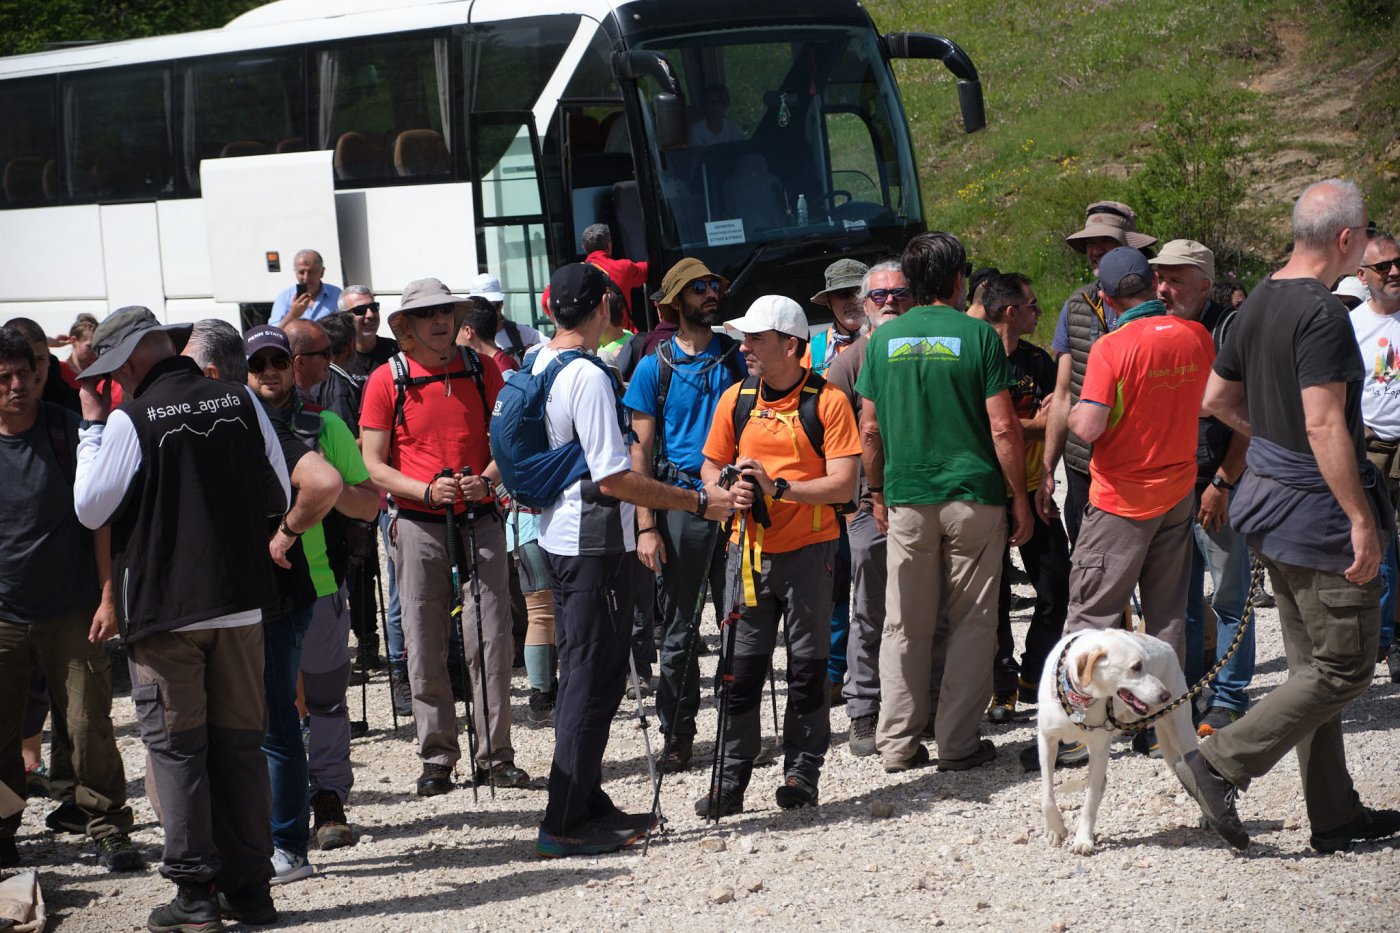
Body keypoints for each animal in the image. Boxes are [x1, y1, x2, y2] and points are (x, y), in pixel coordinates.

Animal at [1036, 624, 1198, 851]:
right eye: (1136, 667)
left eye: (1148, 665)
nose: (1165, 695)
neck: (1078, 700)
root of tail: (1167, 647)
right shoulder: (1046, 740)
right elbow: (1047, 794)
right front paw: (1055, 829)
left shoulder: (1099, 748)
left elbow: (1090, 799)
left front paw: (1083, 839)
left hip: (1181, 732)